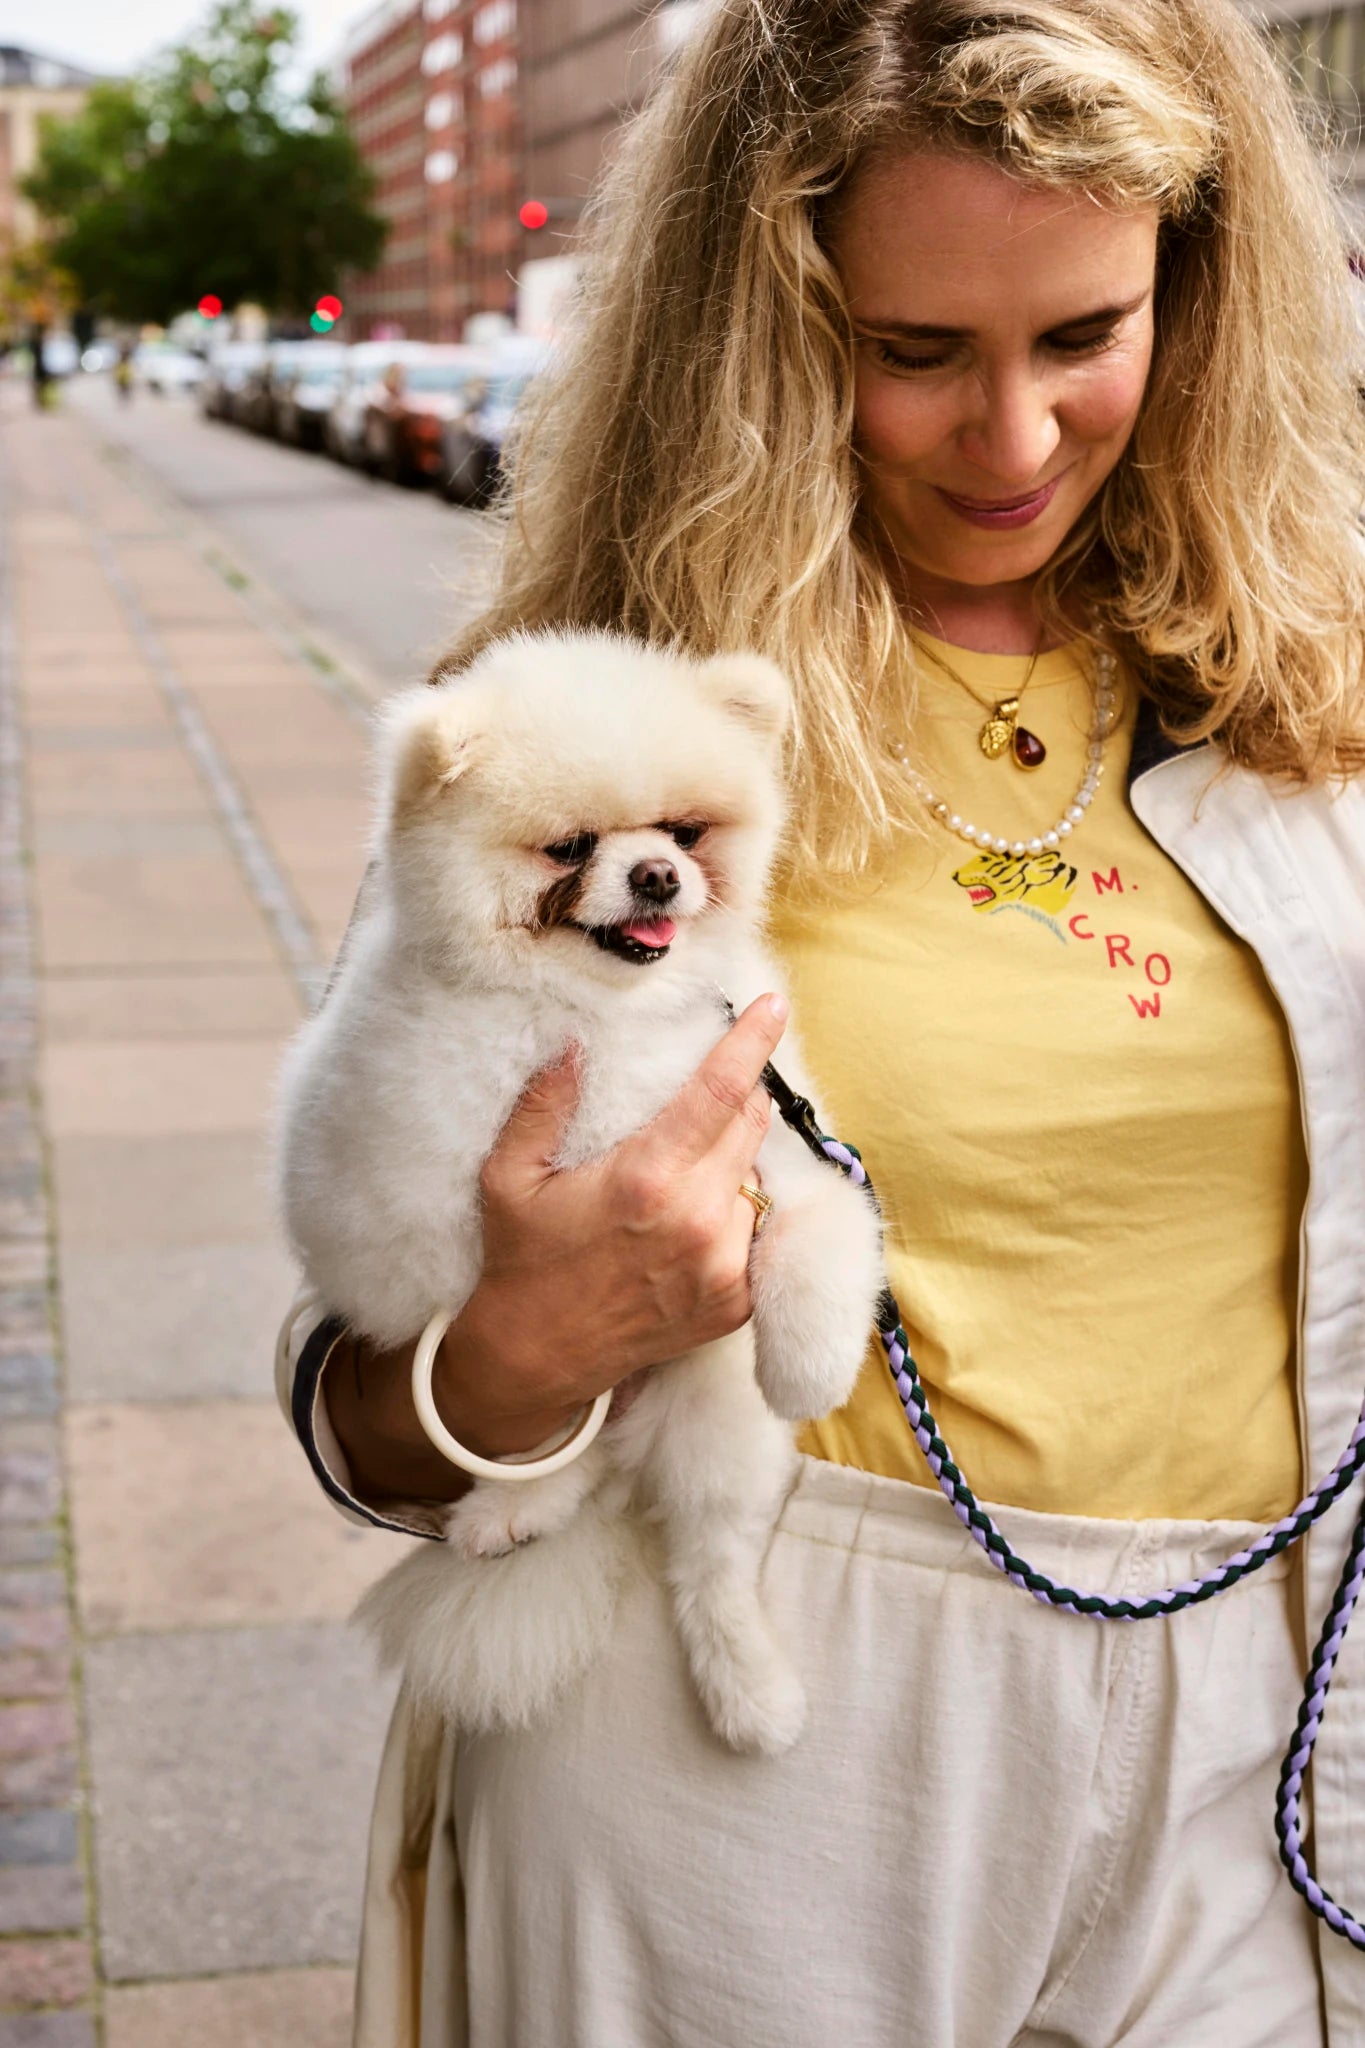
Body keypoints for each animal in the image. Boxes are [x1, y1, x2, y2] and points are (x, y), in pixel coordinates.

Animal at [274, 630, 888, 1753]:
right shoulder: (406, 1213)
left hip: (715, 1423)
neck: (606, 1019)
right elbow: (501, 1345)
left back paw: (749, 1689)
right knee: (571, 1449)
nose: (656, 875)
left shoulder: (786, 1143)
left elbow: (817, 1244)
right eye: (570, 847)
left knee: (709, 1559)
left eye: (684, 832)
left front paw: (813, 1367)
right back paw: (519, 1511)